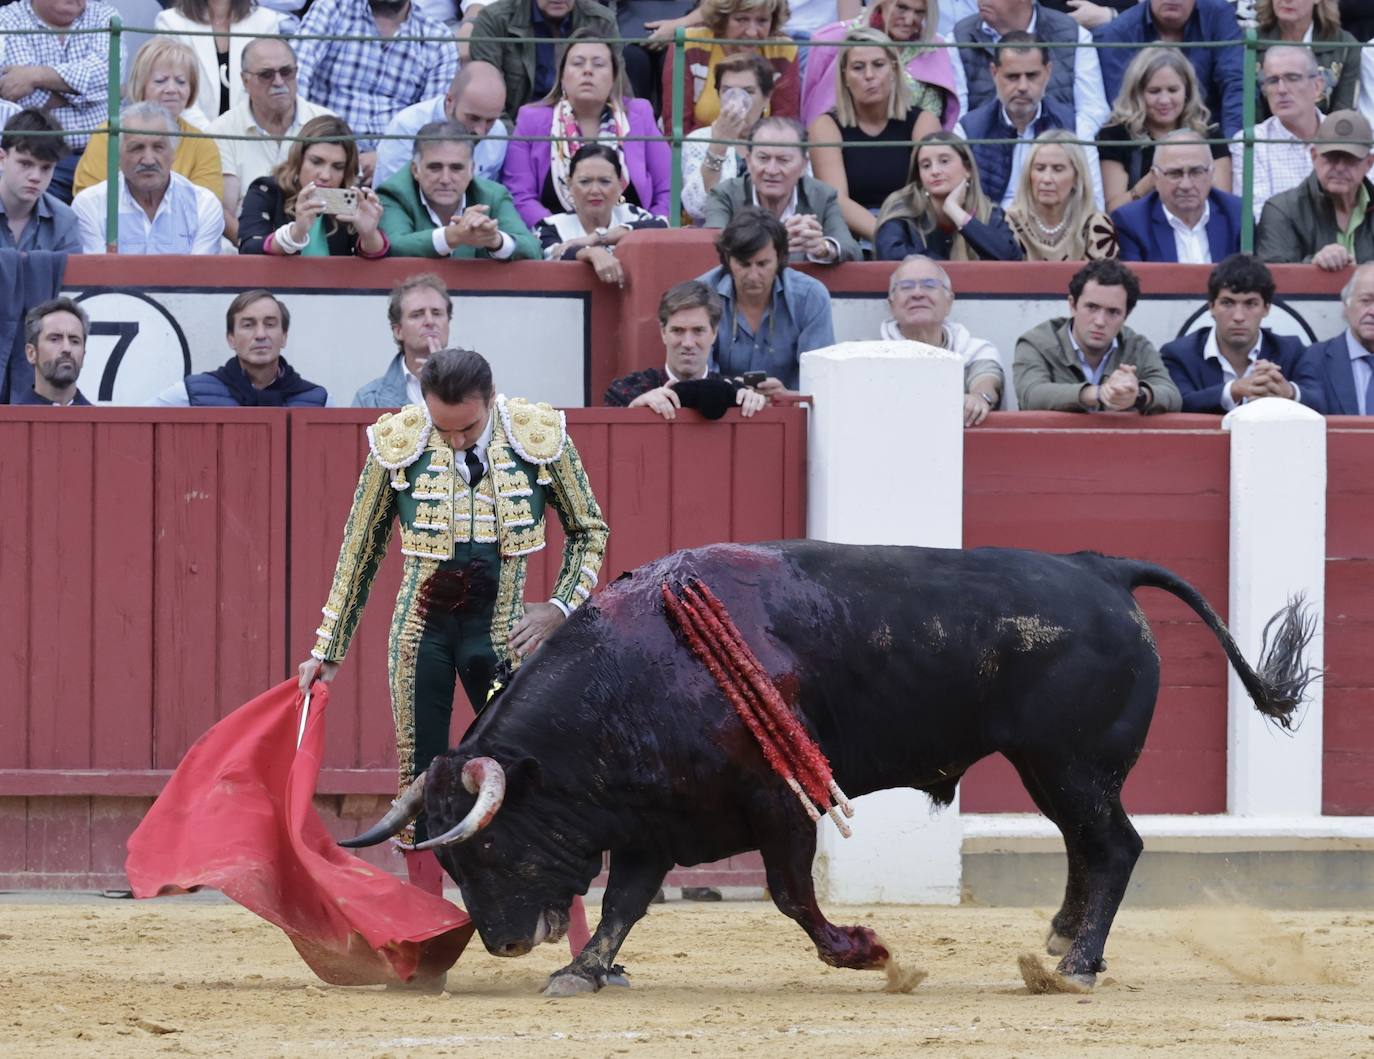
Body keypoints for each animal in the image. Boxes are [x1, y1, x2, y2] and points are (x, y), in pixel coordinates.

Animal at [340, 543, 1308, 999]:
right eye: (450, 858)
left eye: (486, 849)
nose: (502, 941)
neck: (643, 667)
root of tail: (1098, 567)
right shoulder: (657, 818)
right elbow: (624, 902)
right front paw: (582, 970)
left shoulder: (777, 801)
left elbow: (789, 892)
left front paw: (865, 949)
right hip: (1054, 768)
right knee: (1090, 847)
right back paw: (1063, 939)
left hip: (1070, 763)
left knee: (1115, 846)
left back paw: (1075, 963)